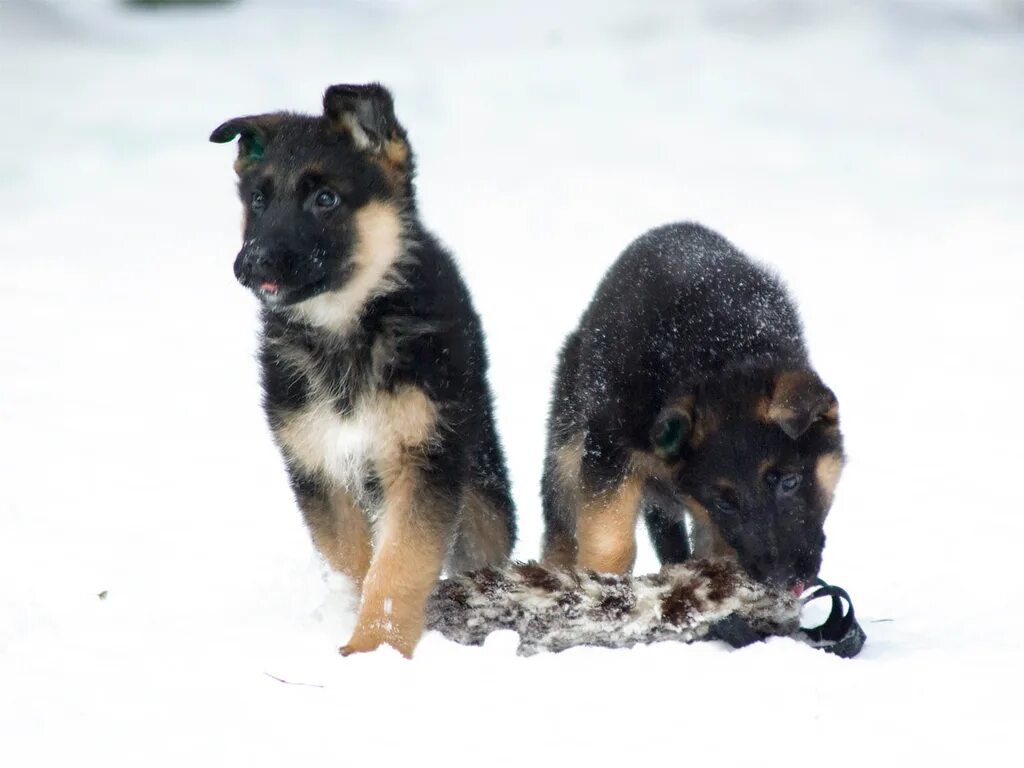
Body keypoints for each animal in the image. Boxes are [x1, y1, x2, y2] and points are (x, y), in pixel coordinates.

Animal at [209, 85, 512, 663]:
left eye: (325, 200)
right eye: (258, 201)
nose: (251, 263)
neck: (346, 329)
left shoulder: (424, 457)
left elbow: (399, 564)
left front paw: (375, 649)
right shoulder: (316, 464)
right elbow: (352, 560)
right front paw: (352, 624)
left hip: (481, 480)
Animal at [540, 222, 843, 593]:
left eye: (790, 482)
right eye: (724, 502)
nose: (781, 580)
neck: (718, 358)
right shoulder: (607, 451)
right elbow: (609, 540)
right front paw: (600, 585)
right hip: (569, 446)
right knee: (561, 527)